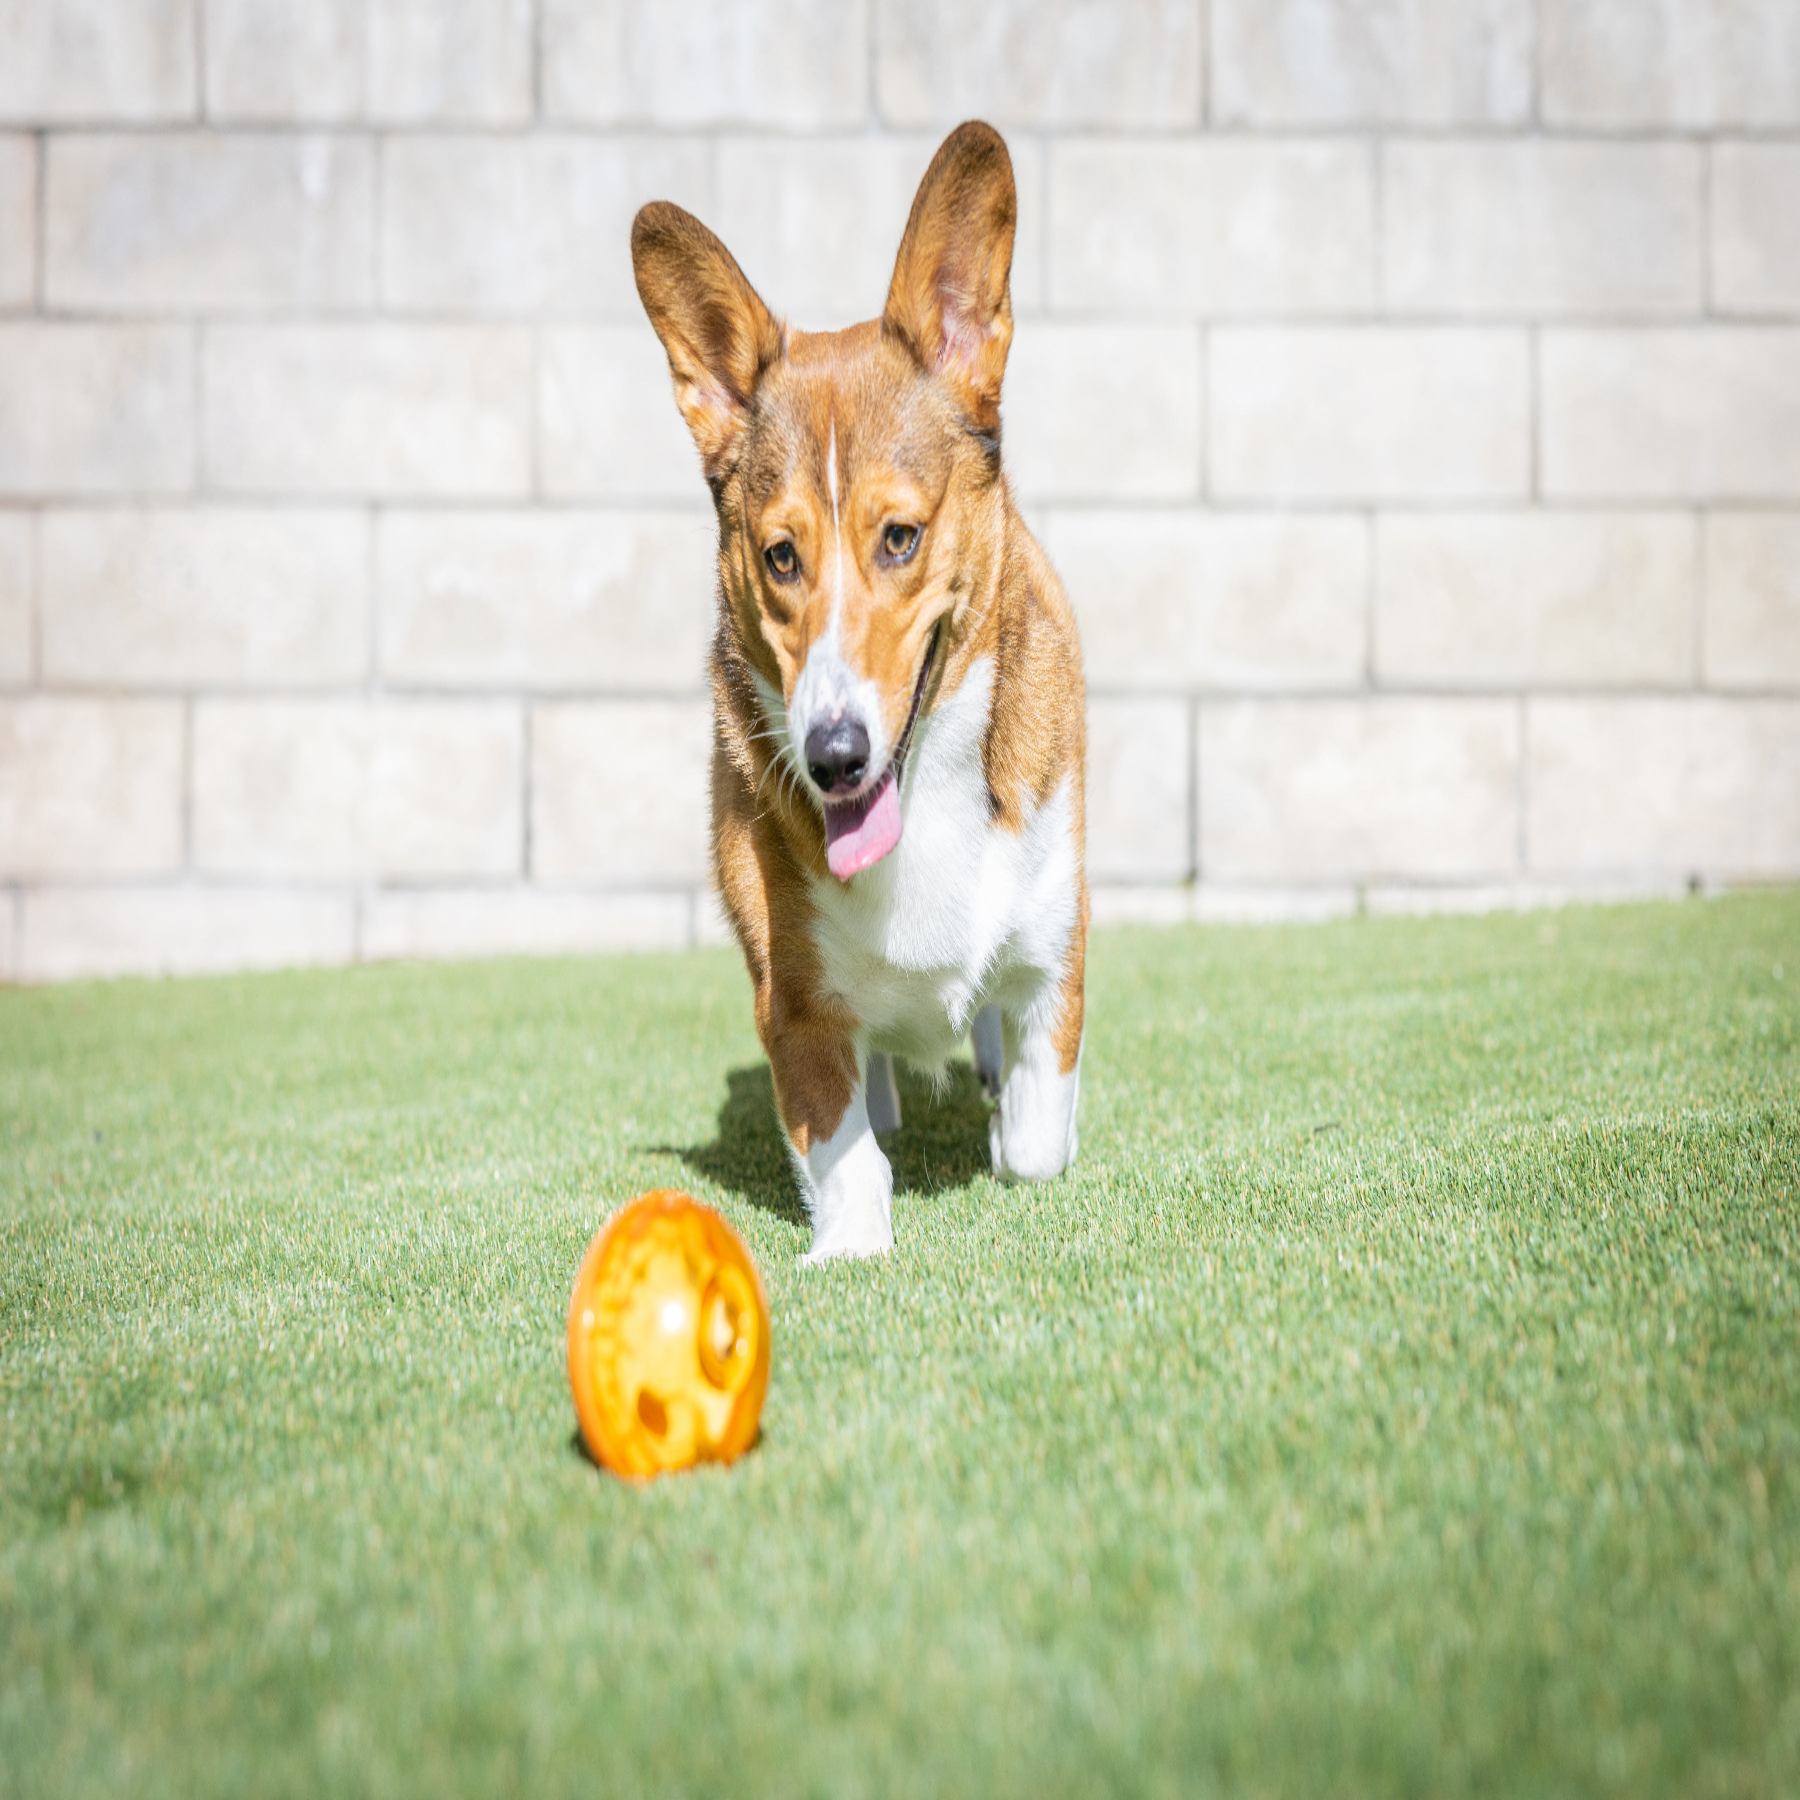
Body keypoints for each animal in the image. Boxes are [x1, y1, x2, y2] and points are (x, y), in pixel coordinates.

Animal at [633, 119, 1080, 1260]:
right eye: (780, 557)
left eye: (901, 537)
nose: (834, 757)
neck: (918, 801)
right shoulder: (791, 1006)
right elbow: (845, 1152)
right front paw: (850, 1244)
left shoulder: (1057, 947)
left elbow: (1035, 1137)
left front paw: (1009, 1126)